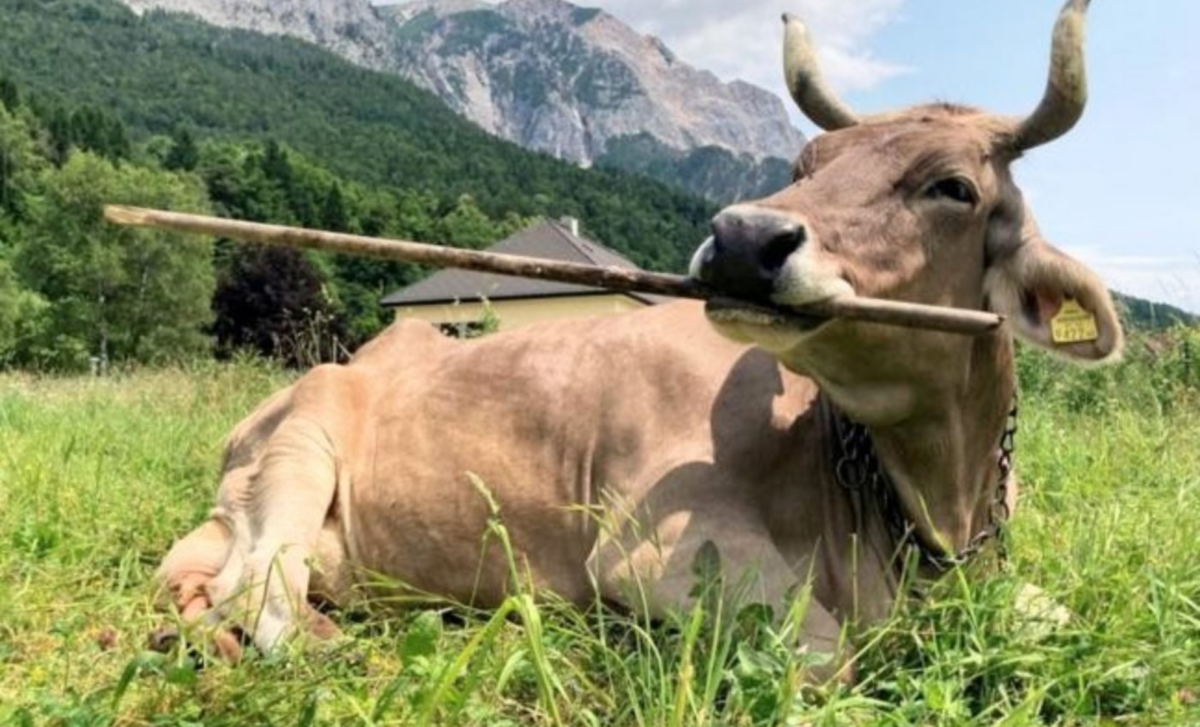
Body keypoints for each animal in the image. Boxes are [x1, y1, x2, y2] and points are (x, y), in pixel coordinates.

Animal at [156, 0, 1120, 680]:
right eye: (806, 166)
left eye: (953, 187)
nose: (742, 238)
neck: (929, 506)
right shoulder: (657, 551)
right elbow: (828, 655)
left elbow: (1066, 618)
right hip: (303, 443)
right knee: (260, 585)